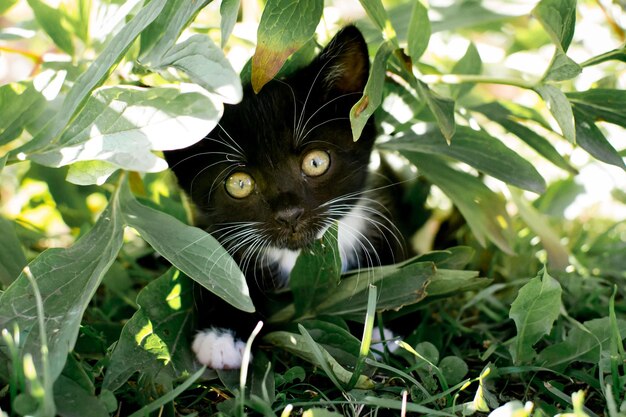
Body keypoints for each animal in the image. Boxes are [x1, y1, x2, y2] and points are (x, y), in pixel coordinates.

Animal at [163, 26, 402, 368]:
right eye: (239, 183)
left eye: (316, 162)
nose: (289, 214)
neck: (300, 257)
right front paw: (221, 334)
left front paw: (375, 330)